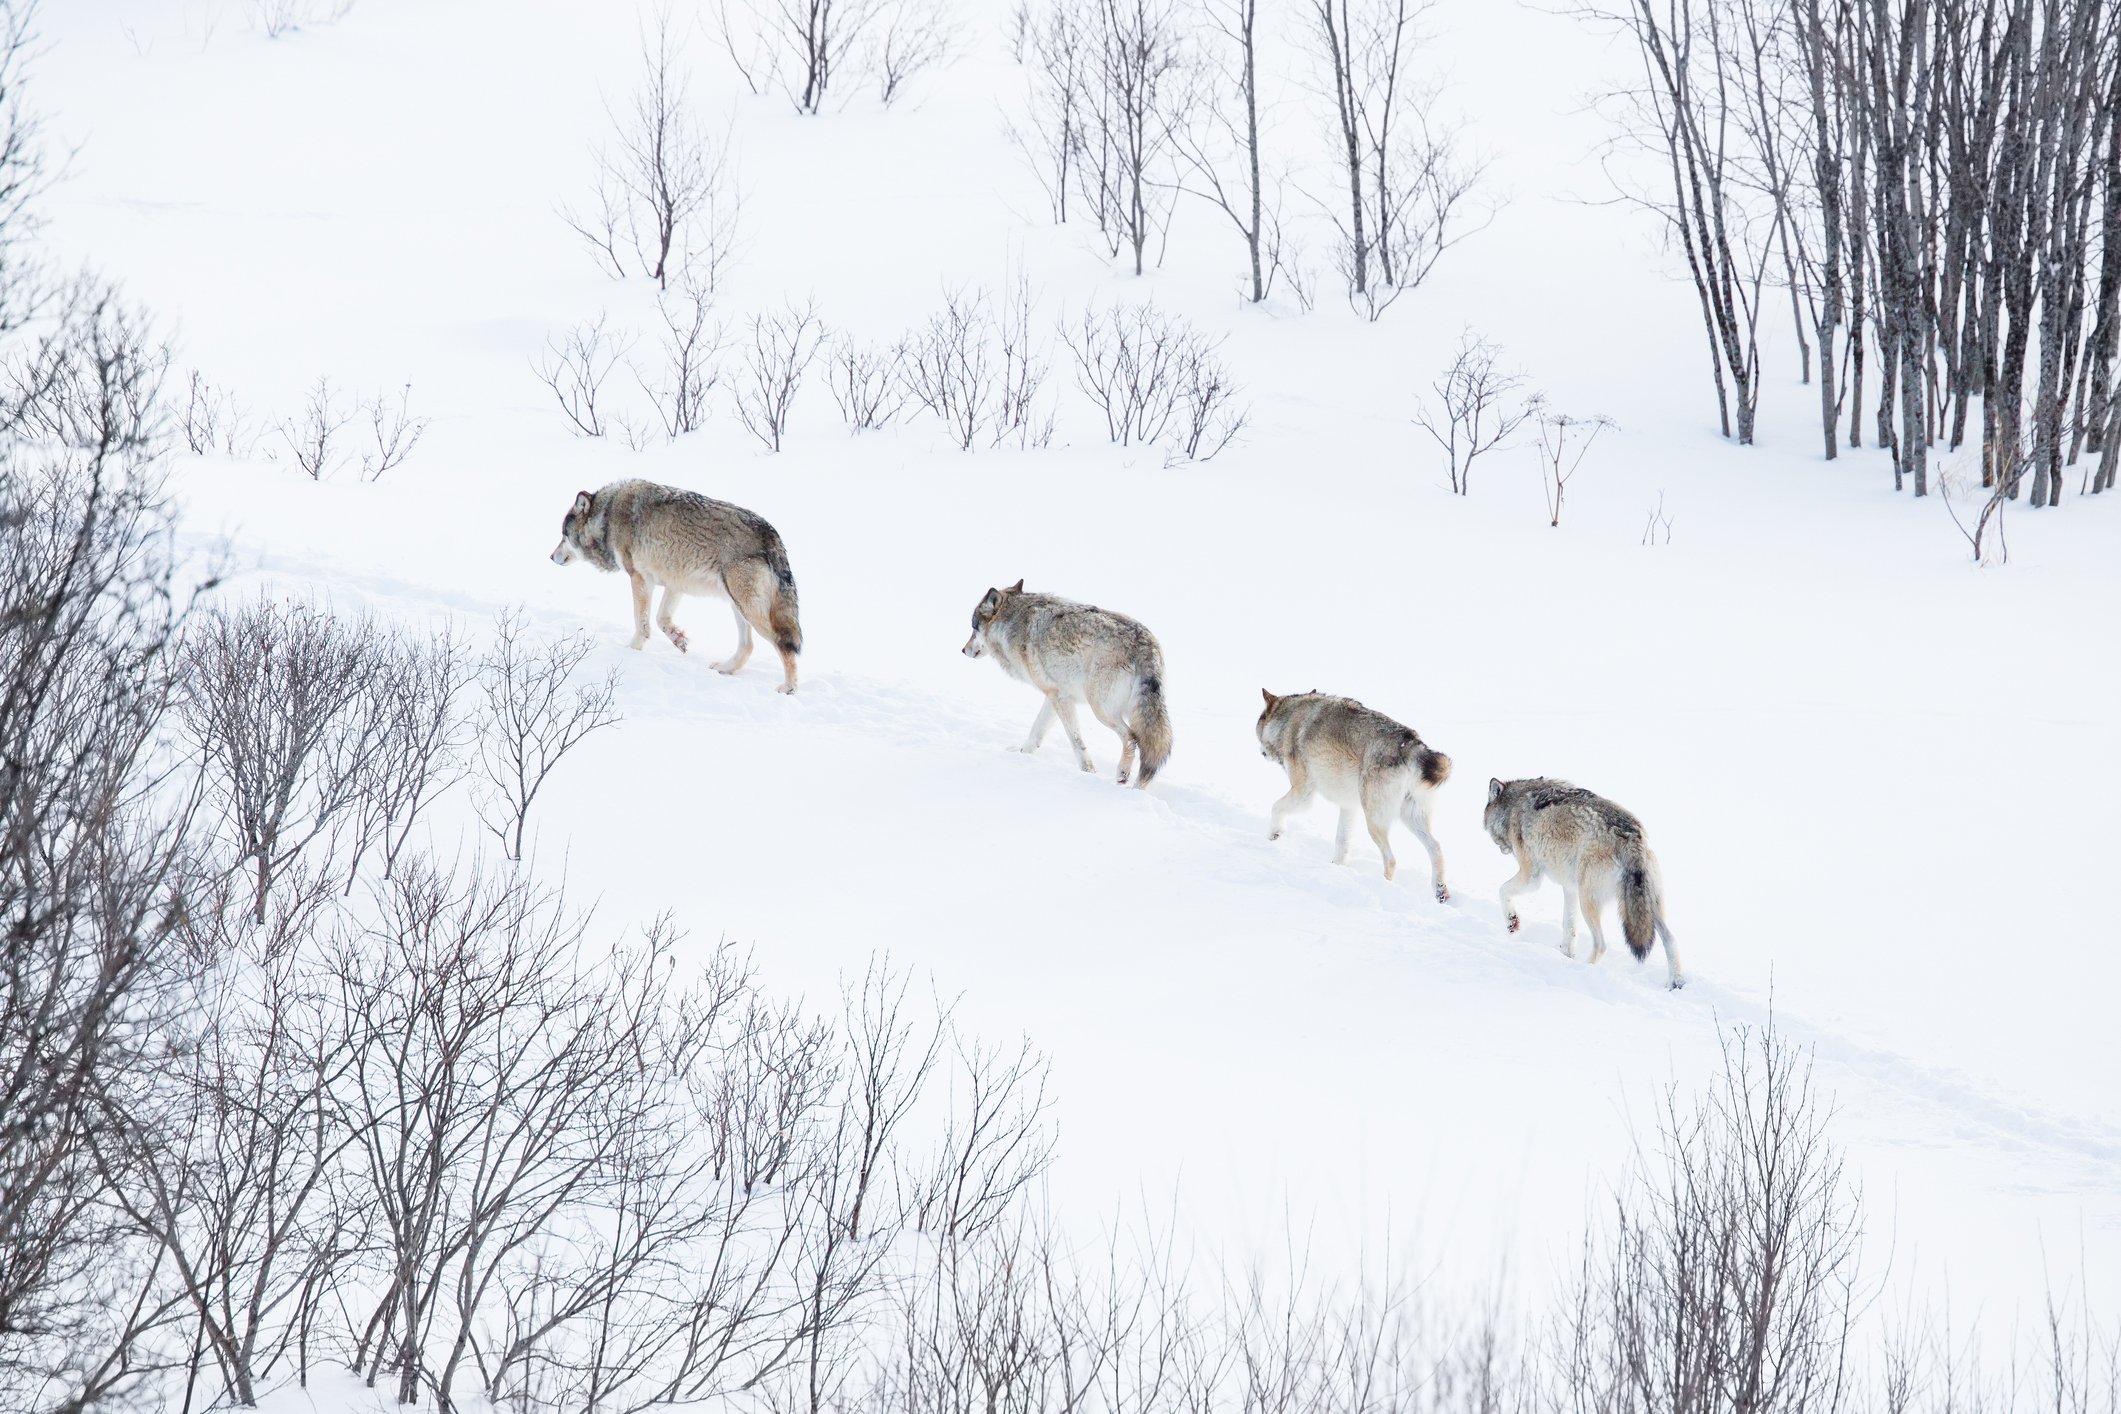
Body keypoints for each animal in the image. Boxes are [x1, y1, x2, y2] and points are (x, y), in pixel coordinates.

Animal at [550, 479, 803, 694]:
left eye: (563, 535)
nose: (551, 557)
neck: (607, 516)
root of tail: (772, 535)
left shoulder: (640, 579)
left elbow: (642, 623)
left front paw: (631, 651)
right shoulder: (675, 584)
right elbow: (661, 619)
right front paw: (678, 639)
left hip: (747, 609)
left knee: (783, 644)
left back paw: (789, 688)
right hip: (738, 606)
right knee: (748, 646)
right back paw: (724, 668)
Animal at [961, 580, 1172, 787]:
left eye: (973, 628)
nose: (963, 650)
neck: (1013, 623)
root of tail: (1145, 644)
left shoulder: (1060, 698)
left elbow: (1076, 741)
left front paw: (1088, 772)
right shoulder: (1055, 695)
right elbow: (1036, 731)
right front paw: (1021, 753)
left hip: (1101, 710)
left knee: (1131, 738)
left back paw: (1122, 776)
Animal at [1255, 690, 1452, 900]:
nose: (1261, 752)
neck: (1287, 721)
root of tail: (1412, 744)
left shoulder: (1303, 793)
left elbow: (1276, 806)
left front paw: (1273, 835)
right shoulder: (1348, 806)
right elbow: (1341, 843)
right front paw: (1336, 868)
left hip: (1374, 822)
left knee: (1391, 860)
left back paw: (1383, 887)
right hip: (1410, 818)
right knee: (1436, 848)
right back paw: (1440, 891)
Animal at [1481, 777, 1684, 988]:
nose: (1502, 849)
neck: (1514, 806)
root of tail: (1633, 837)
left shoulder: (1532, 877)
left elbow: (1502, 890)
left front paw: (1512, 922)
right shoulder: (1569, 888)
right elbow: (1568, 927)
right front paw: (1565, 954)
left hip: (1588, 901)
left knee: (1601, 944)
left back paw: (1584, 969)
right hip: (1646, 908)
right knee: (1671, 940)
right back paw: (1675, 983)